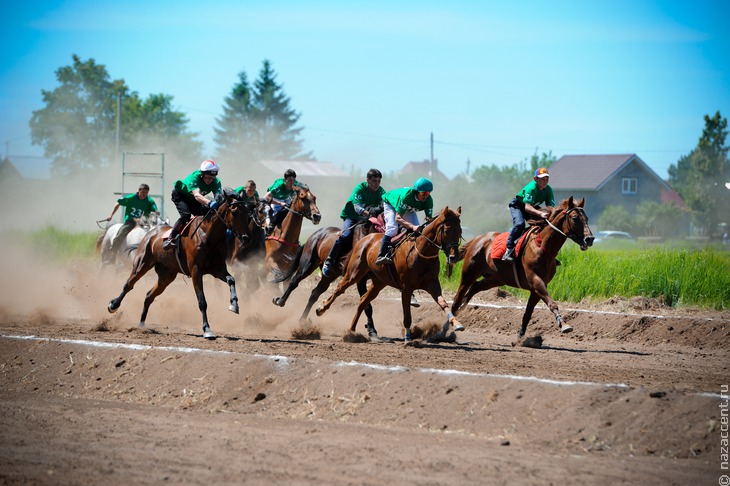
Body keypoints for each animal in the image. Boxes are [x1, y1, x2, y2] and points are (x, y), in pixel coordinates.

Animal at [106, 190, 252, 338]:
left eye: (248, 213)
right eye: (234, 211)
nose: (246, 238)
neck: (208, 234)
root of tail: (151, 233)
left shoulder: (217, 269)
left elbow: (231, 279)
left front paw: (234, 305)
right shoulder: (196, 271)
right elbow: (202, 301)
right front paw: (207, 329)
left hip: (167, 276)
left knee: (149, 296)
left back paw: (141, 325)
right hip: (142, 264)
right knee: (129, 284)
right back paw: (113, 305)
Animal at [314, 207, 460, 344]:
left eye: (459, 231)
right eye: (447, 230)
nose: (454, 257)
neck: (420, 252)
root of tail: (364, 240)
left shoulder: (432, 284)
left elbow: (443, 302)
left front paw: (456, 323)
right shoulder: (406, 287)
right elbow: (407, 315)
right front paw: (408, 339)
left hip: (378, 282)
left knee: (363, 301)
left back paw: (351, 331)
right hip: (354, 274)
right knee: (339, 290)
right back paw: (321, 309)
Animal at [450, 196, 592, 340]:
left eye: (586, 218)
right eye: (574, 218)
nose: (590, 239)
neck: (542, 246)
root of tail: (477, 239)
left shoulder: (536, 288)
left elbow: (528, 313)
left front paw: (520, 336)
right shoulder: (535, 280)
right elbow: (552, 303)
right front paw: (564, 324)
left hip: (495, 279)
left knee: (475, 287)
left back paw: (462, 307)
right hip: (469, 274)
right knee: (457, 298)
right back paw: (454, 322)